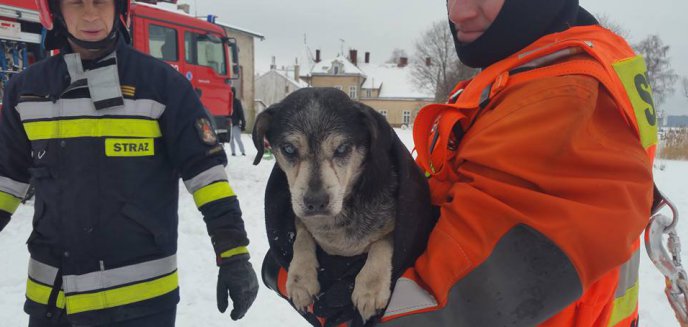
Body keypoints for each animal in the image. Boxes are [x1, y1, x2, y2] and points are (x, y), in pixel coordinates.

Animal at [254, 88, 400, 322]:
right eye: (288, 149)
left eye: (342, 148)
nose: (315, 202)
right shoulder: (301, 219)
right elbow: (302, 238)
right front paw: (301, 280)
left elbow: (382, 242)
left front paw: (370, 289)